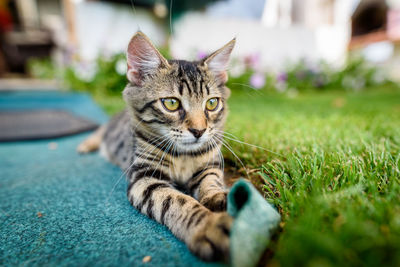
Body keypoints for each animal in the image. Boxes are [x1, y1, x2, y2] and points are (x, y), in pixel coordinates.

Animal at [76, 30, 236, 262]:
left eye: (212, 103)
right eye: (171, 103)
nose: (199, 131)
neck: (183, 156)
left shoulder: (209, 166)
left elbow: (211, 182)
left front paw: (218, 197)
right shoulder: (145, 179)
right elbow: (178, 201)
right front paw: (208, 225)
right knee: (99, 131)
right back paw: (85, 145)